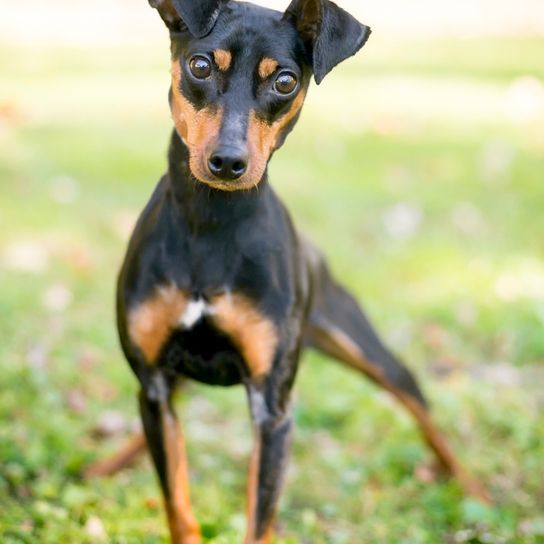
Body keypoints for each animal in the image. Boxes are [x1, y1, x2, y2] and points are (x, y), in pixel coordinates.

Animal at [86, 1, 488, 544]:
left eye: (284, 81)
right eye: (199, 66)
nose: (228, 161)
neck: (210, 224)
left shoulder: (273, 409)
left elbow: (260, 517)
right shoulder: (154, 385)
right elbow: (178, 503)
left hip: (367, 351)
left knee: (423, 413)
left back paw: (476, 492)